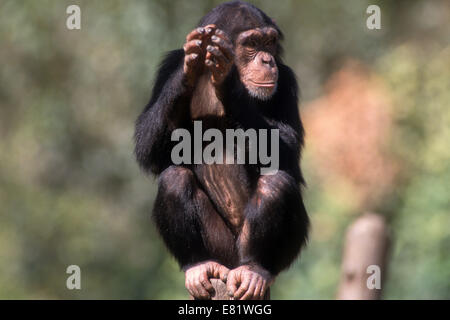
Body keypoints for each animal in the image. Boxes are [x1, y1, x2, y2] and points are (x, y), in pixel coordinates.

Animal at [134, 0, 310, 300]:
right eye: (252, 43)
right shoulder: (165, 68)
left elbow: (286, 146)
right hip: (220, 248)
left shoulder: (286, 80)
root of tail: (231, 267)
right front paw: (189, 67)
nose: (267, 60)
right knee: (174, 178)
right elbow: (149, 147)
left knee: (275, 184)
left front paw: (228, 80)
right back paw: (198, 264)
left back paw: (255, 270)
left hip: (255, 250)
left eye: (269, 42)